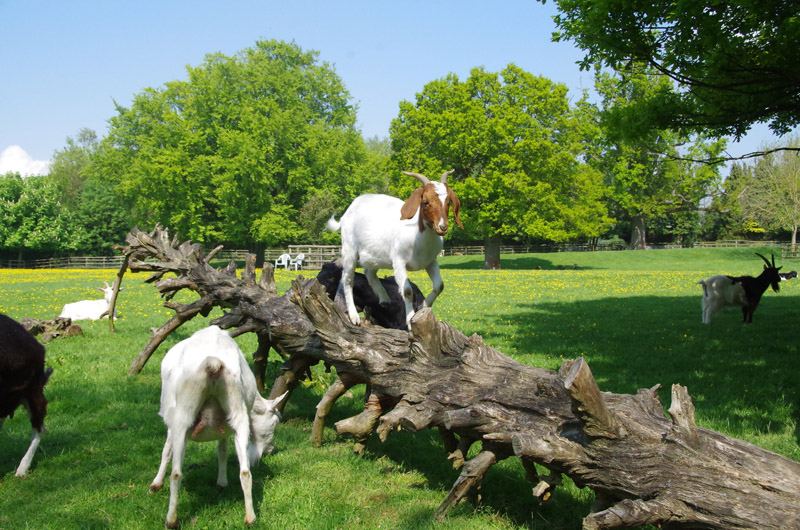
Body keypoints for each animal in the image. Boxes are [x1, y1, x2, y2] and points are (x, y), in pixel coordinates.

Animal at [149, 325, 287, 528]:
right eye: (276, 422)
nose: (271, 450)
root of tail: (213, 365)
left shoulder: (171, 422)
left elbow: (167, 450)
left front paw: (155, 484)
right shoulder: (225, 427)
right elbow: (222, 450)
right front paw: (222, 483)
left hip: (183, 415)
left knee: (176, 473)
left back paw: (171, 520)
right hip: (237, 412)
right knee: (245, 471)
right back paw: (250, 518)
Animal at [326, 170, 462, 327]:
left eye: (448, 202)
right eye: (426, 202)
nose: (442, 227)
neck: (416, 235)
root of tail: (349, 210)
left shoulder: (431, 261)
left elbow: (439, 286)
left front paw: (421, 307)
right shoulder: (399, 262)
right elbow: (407, 291)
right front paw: (410, 320)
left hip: (374, 256)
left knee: (369, 273)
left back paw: (384, 299)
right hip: (350, 250)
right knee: (347, 279)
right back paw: (354, 316)